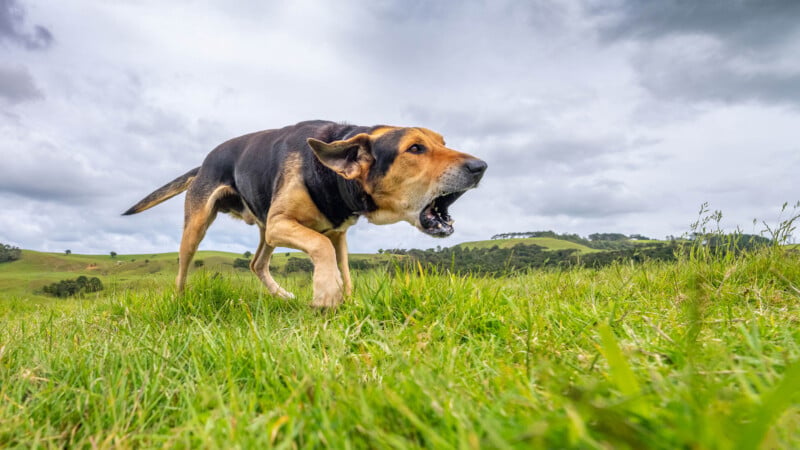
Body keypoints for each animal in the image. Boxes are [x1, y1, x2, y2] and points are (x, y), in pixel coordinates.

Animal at [123, 121, 488, 308]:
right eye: (415, 148)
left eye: (443, 142)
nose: (481, 166)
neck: (332, 175)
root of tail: (203, 162)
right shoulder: (286, 225)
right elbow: (320, 248)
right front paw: (327, 293)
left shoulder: (337, 233)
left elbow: (344, 268)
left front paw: (347, 299)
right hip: (203, 224)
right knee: (183, 264)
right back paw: (181, 301)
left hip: (265, 227)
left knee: (257, 263)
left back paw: (283, 296)